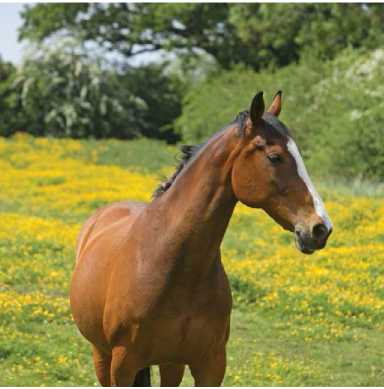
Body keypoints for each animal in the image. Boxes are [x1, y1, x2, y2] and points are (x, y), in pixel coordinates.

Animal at [70, 91, 332, 384]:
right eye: (275, 157)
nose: (320, 228)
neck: (169, 264)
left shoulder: (211, 365)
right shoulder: (124, 365)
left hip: (170, 364)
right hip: (102, 356)